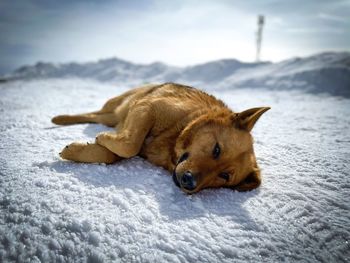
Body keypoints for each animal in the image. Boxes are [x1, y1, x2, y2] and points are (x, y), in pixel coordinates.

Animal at [52, 83, 270, 194]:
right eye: (217, 149)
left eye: (224, 176)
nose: (189, 182)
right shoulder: (147, 107)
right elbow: (129, 146)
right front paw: (102, 138)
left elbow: (115, 154)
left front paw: (83, 148)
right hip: (119, 105)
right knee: (94, 113)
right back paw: (60, 119)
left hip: (114, 115)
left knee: (96, 116)